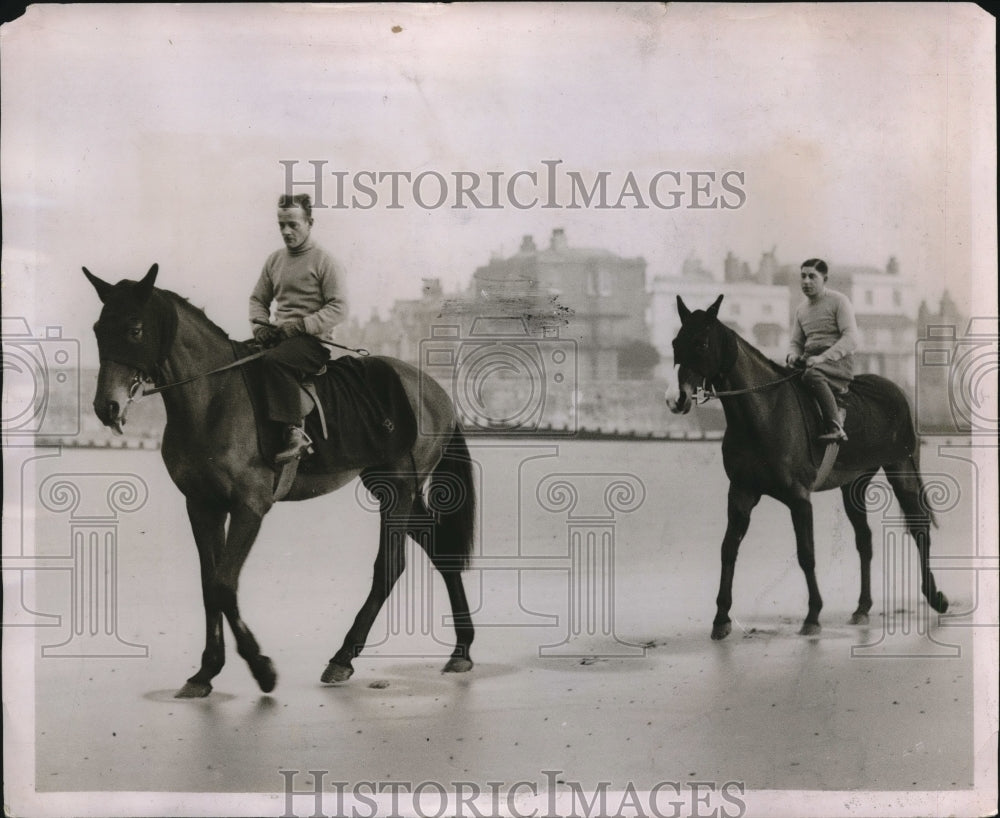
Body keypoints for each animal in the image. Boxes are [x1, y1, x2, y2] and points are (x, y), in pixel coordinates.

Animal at [83, 266, 476, 696]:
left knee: (389, 566)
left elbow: (223, 584)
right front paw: (207, 670)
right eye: (98, 329)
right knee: (440, 551)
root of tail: (435, 389)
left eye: (135, 329)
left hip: (399, 488)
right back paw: (461, 648)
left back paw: (343, 656)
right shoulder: (202, 506)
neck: (213, 398)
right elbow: (209, 585)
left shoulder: (250, 507)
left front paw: (260, 667)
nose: (106, 407)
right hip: (389, 485)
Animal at [668, 294, 948, 636]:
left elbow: (806, 554)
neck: (764, 413)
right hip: (854, 485)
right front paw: (721, 618)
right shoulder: (741, 493)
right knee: (865, 540)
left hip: (901, 468)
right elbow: (728, 548)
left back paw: (935, 597)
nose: (676, 399)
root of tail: (897, 390)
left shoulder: (799, 498)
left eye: (702, 343)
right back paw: (862, 608)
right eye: (675, 343)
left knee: (920, 527)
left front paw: (813, 615)